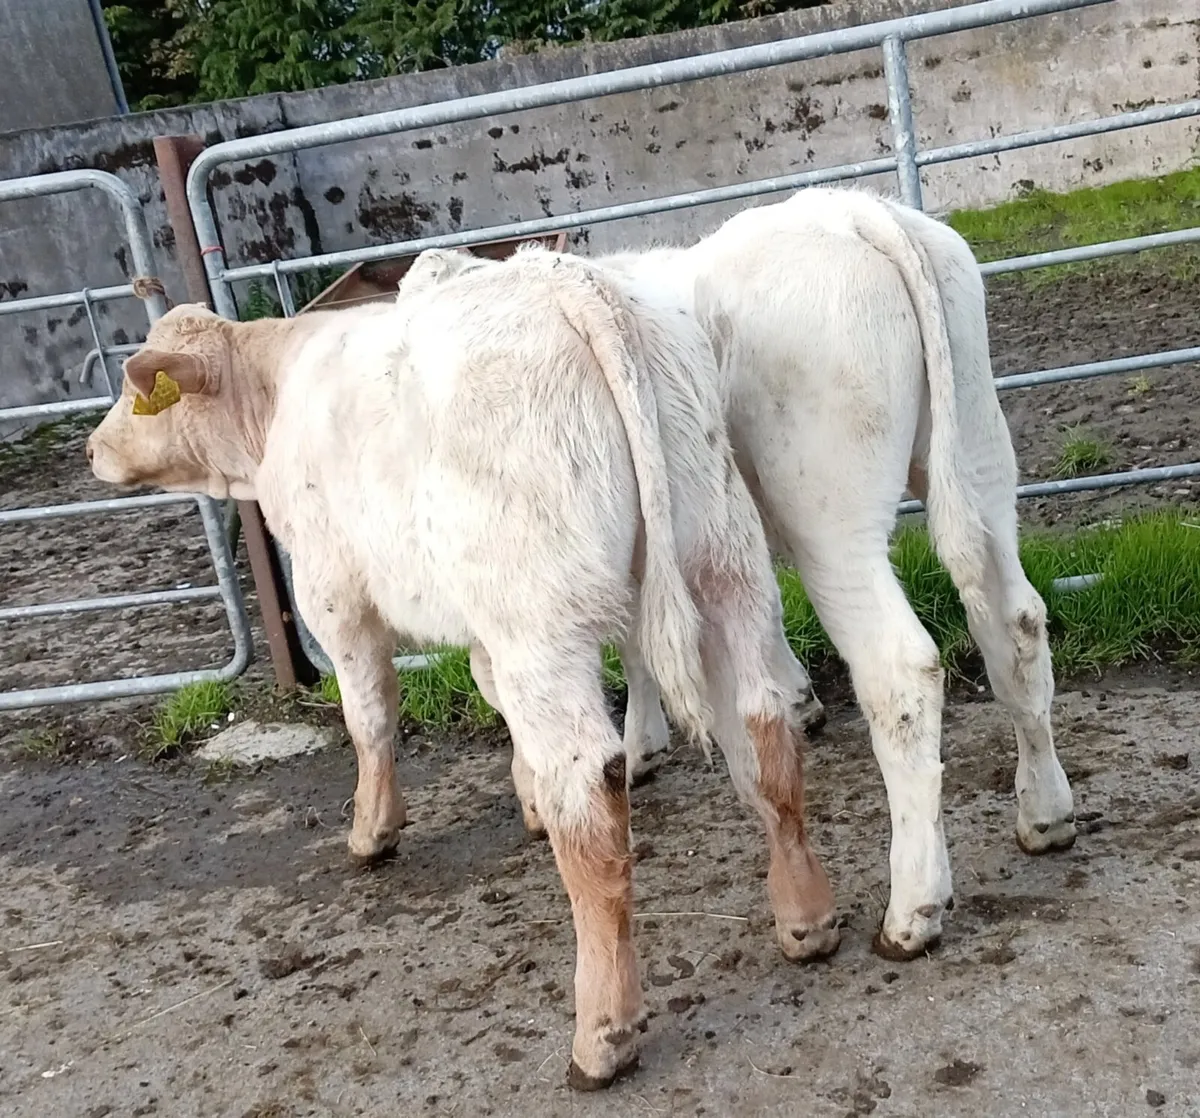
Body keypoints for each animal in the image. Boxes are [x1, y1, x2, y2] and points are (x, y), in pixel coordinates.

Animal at [86, 249, 838, 1089]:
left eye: (136, 392)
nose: (91, 448)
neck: (275, 395)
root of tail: (573, 285)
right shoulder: (482, 627)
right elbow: (494, 699)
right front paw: (526, 798)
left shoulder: (334, 594)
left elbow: (369, 714)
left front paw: (372, 830)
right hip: (722, 560)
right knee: (763, 728)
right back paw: (807, 918)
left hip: (542, 613)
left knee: (591, 788)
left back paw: (602, 1032)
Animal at [418, 185, 1077, 963]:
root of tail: (855, 211)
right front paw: (794, 698)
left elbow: (631, 650)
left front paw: (635, 746)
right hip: (978, 451)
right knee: (1016, 621)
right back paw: (1046, 814)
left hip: (829, 510)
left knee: (900, 670)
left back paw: (912, 910)